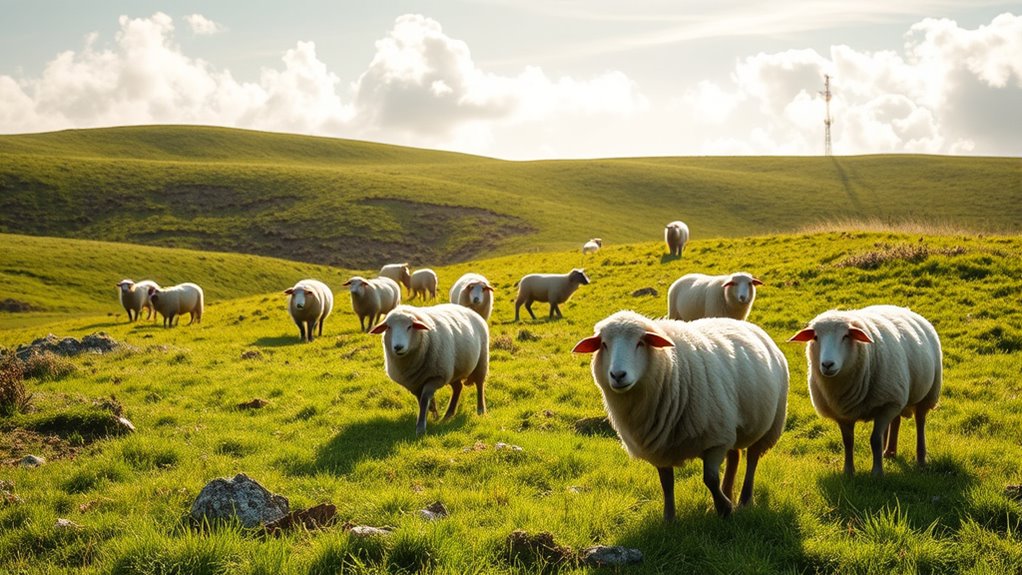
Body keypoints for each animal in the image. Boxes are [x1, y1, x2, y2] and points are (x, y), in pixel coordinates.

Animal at [370, 304, 489, 435]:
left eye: (410, 326)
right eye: (389, 327)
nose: (398, 347)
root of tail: (468, 309)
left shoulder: (436, 377)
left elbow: (424, 399)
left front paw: (421, 427)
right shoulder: (415, 383)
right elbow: (421, 400)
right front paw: (432, 411)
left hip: (481, 361)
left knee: (479, 385)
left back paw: (480, 410)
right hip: (452, 371)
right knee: (458, 388)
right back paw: (448, 415)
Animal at [573, 310, 789, 520]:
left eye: (640, 342)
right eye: (603, 344)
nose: (618, 375)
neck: (672, 370)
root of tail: (747, 324)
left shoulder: (716, 439)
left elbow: (710, 479)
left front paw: (724, 508)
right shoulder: (659, 446)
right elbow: (666, 484)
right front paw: (669, 519)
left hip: (770, 424)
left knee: (752, 458)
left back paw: (744, 500)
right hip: (732, 425)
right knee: (734, 456)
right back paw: (729, 493)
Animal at [789, 305, 942, 477]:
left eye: (846, 336)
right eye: (815, 337)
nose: (827, 364)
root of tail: (903, 308)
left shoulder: (887, 404)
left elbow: (875, 439)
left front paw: (877, 472)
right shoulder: (843, 414)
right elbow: (848, 442)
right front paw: (848, 472)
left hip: (926, 393)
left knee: (920, 422)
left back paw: (921, 460)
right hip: (897, 393)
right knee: (896, 420)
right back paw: (889, 452)